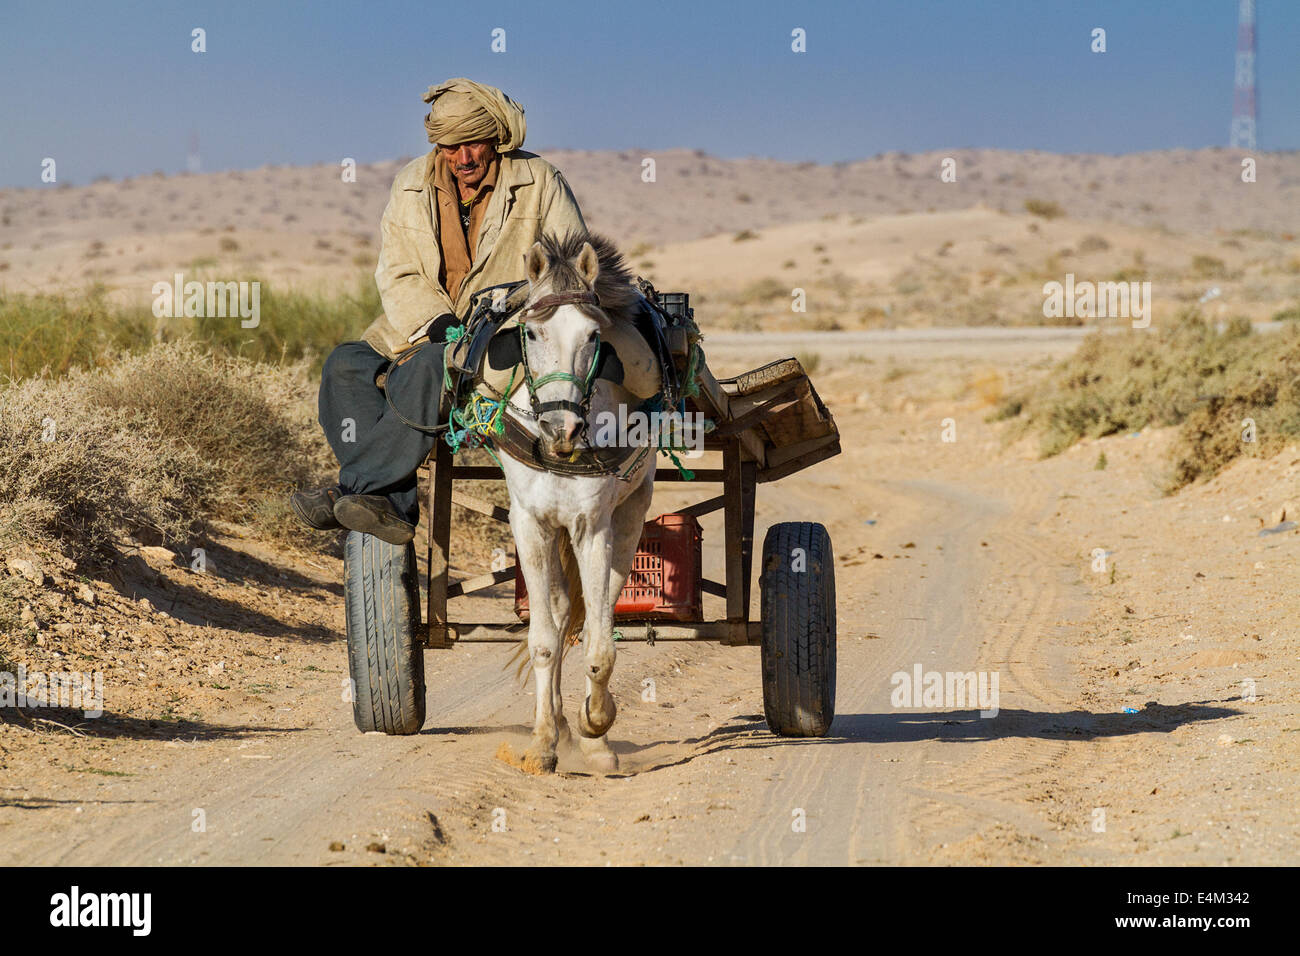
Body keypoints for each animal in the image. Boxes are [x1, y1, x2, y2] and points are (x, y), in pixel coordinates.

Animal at [493, 234, 665, 780]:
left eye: (594, 335)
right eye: (530, 332)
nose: (560, 429)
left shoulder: (593, 526)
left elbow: (600, 644)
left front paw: (597, 726)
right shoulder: (529, 524)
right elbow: (545, 641)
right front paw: (543, 743)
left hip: (629, 518)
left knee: (595, 610)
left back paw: (588, 734)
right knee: (562, 610)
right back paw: (557, 725)